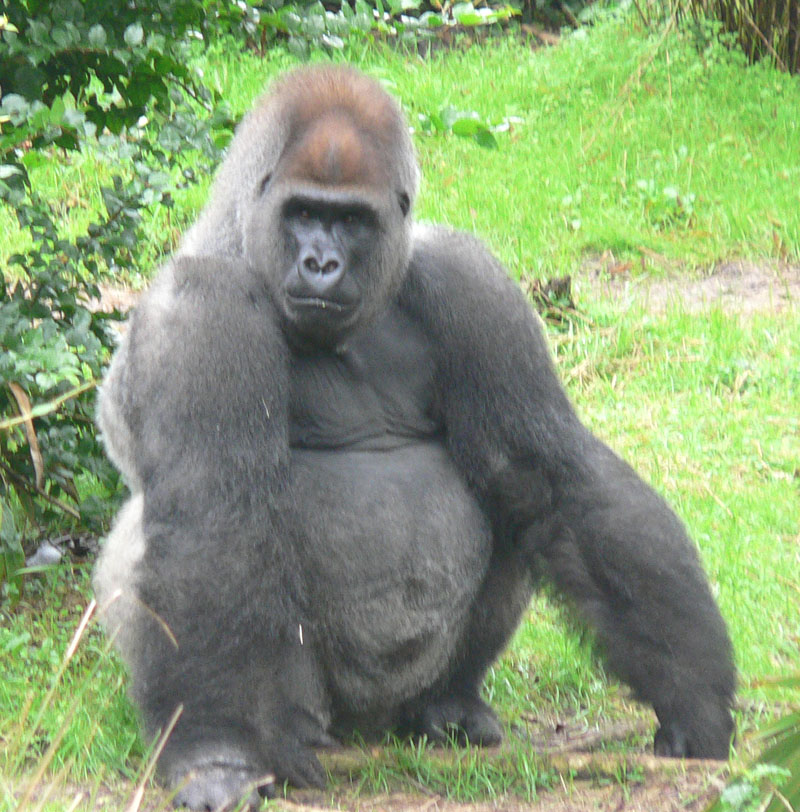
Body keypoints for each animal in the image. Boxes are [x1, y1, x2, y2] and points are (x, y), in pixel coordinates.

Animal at [94, 65, 735, 810]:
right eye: (302, 213)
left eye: (352, 221)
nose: (320, 263)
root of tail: (370, 729)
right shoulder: (199, 308)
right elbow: (212, 520)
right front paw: (215, 752)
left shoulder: (470, 279)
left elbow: (546, 470)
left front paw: (693, 695)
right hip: (320, 714)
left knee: (506, 494)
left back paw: (446, 706)